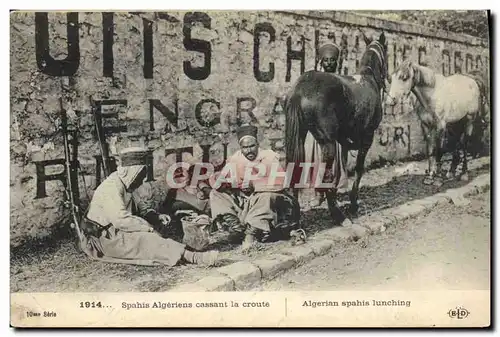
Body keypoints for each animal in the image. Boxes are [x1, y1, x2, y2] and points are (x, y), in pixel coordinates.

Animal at [284, 32, 388, 220]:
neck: (368, 79)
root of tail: (300, 89)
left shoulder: (345, 139)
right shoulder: (368, 135)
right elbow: (359, 168)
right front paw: (353, 203)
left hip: (300, 136)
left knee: (295, 166)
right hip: (328, 143)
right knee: (325, 174)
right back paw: (337, 213)